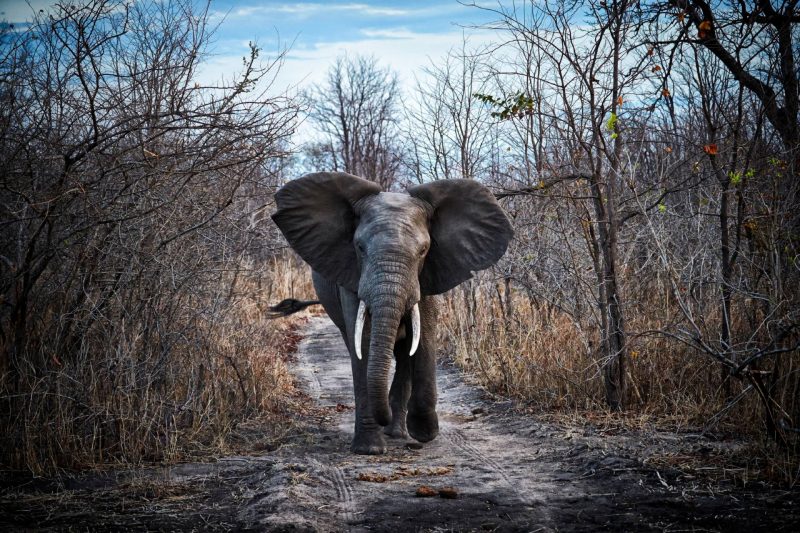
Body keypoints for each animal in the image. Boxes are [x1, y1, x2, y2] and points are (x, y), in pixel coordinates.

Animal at [271, 172, 513, 454]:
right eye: (359, 247)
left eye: (423, 250)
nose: (382, 417)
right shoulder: (351, 275)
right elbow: (363, 343)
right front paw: (369, 449)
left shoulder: (428, 274)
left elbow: (424, 336)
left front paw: (424, 432)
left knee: (406, 351)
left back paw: (397, 432)